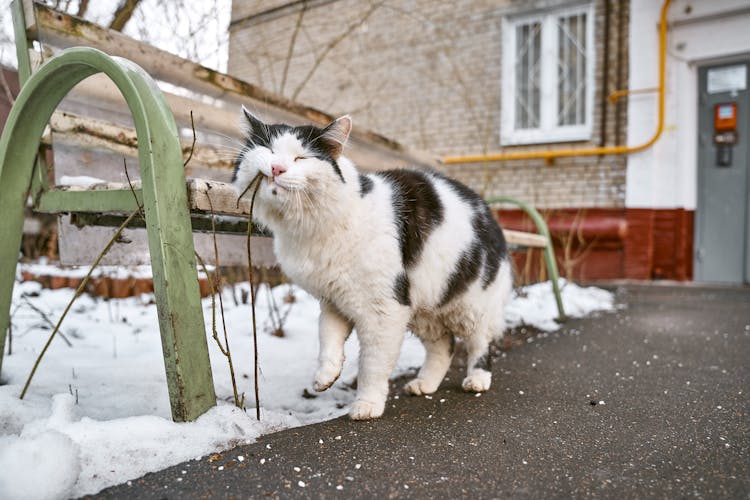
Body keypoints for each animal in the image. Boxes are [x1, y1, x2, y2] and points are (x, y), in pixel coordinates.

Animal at [235, 107, 516, 420]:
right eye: (268, 150)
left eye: (301, 158)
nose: (276, 169)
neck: (313, 231)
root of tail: (488, 209)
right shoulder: (333, 301)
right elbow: (327, 341)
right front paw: (324, 378)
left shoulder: (385, 309)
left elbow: (372, 364)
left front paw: (366, 405)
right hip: (425, 310)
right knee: (444, 347)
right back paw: (424, 384)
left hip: (470, 305)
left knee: (480, 343)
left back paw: (477, 379)